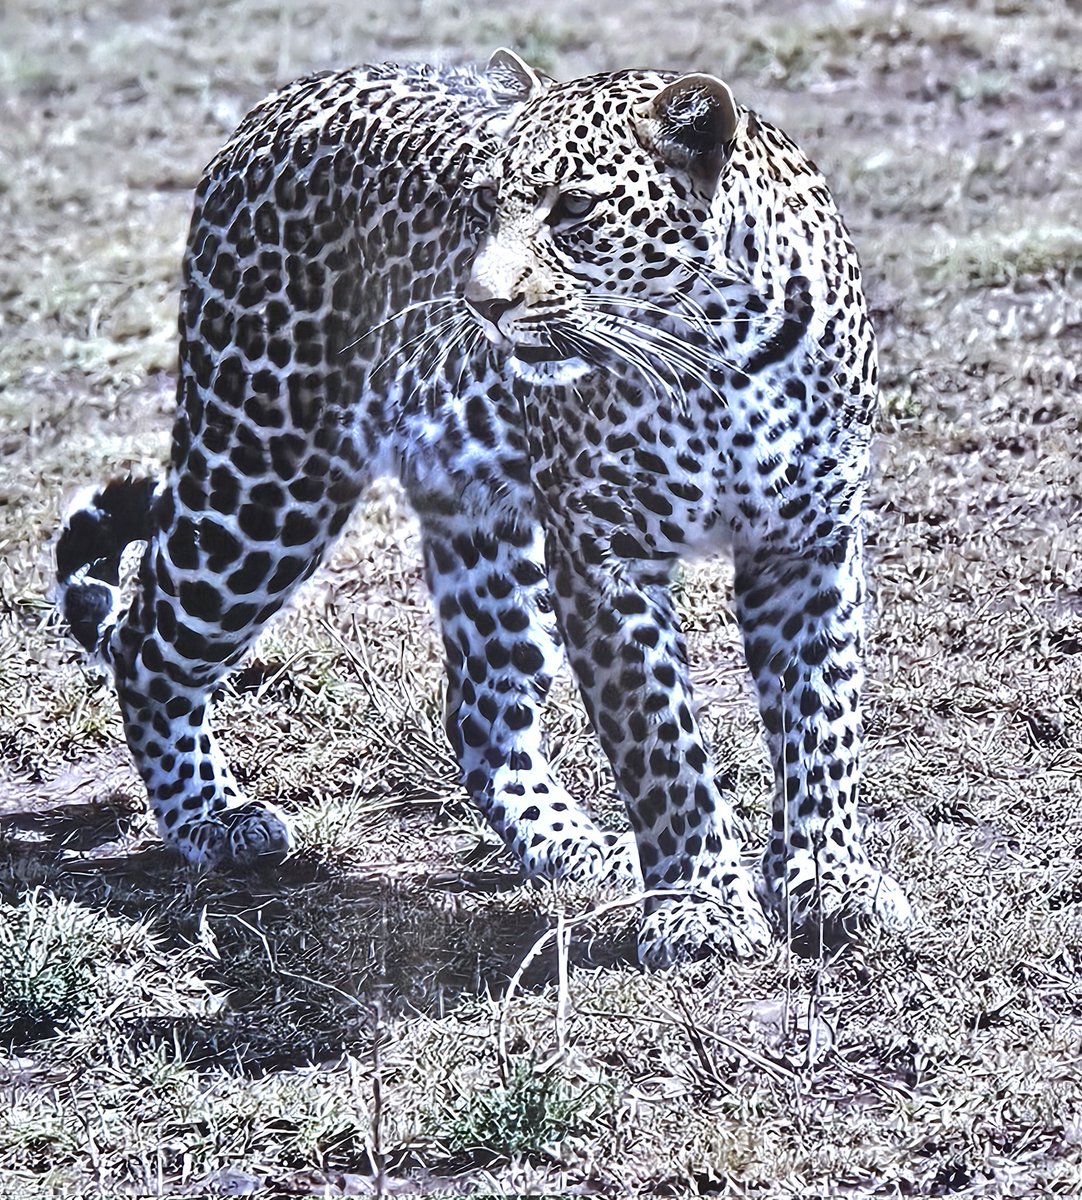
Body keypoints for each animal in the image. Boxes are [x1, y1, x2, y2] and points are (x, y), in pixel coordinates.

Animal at [56, 50, 911, 966]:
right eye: (481, 206)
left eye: (573, 209)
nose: (480, 301)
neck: (718, 351)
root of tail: (281, 100)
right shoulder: (604, 554)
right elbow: (662, 744)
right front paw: (699, 905)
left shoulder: (807, 546)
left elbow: (821, 722)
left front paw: (827, 877)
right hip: (263, 476)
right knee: (145, 645)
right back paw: (212, 821)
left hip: (484, 525)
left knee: (480, 708)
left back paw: (578, 847)